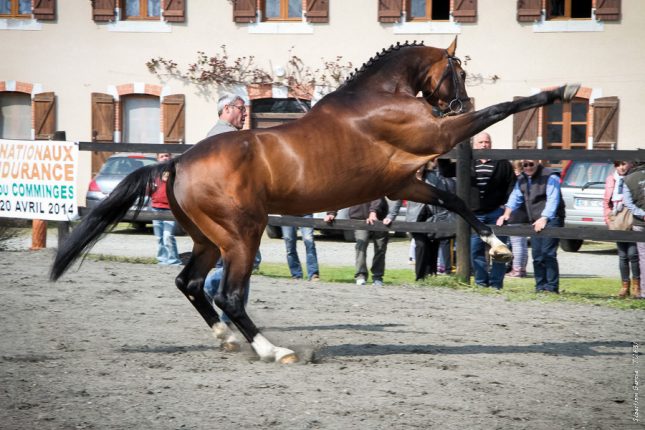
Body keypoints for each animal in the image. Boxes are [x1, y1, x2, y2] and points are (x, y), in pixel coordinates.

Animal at [51, 39, 580, 362]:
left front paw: (499, 247)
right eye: (458, 70)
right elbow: (503, 109)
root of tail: (178, 163)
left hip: (209, 239)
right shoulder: (437, 136)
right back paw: (273, 351)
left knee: (190, 283)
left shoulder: (405, 183)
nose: (459, 104)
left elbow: (457, 204)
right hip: (242, 236)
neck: (378, 98)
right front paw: (559, 90)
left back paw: (226, 338)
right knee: (228, 294)